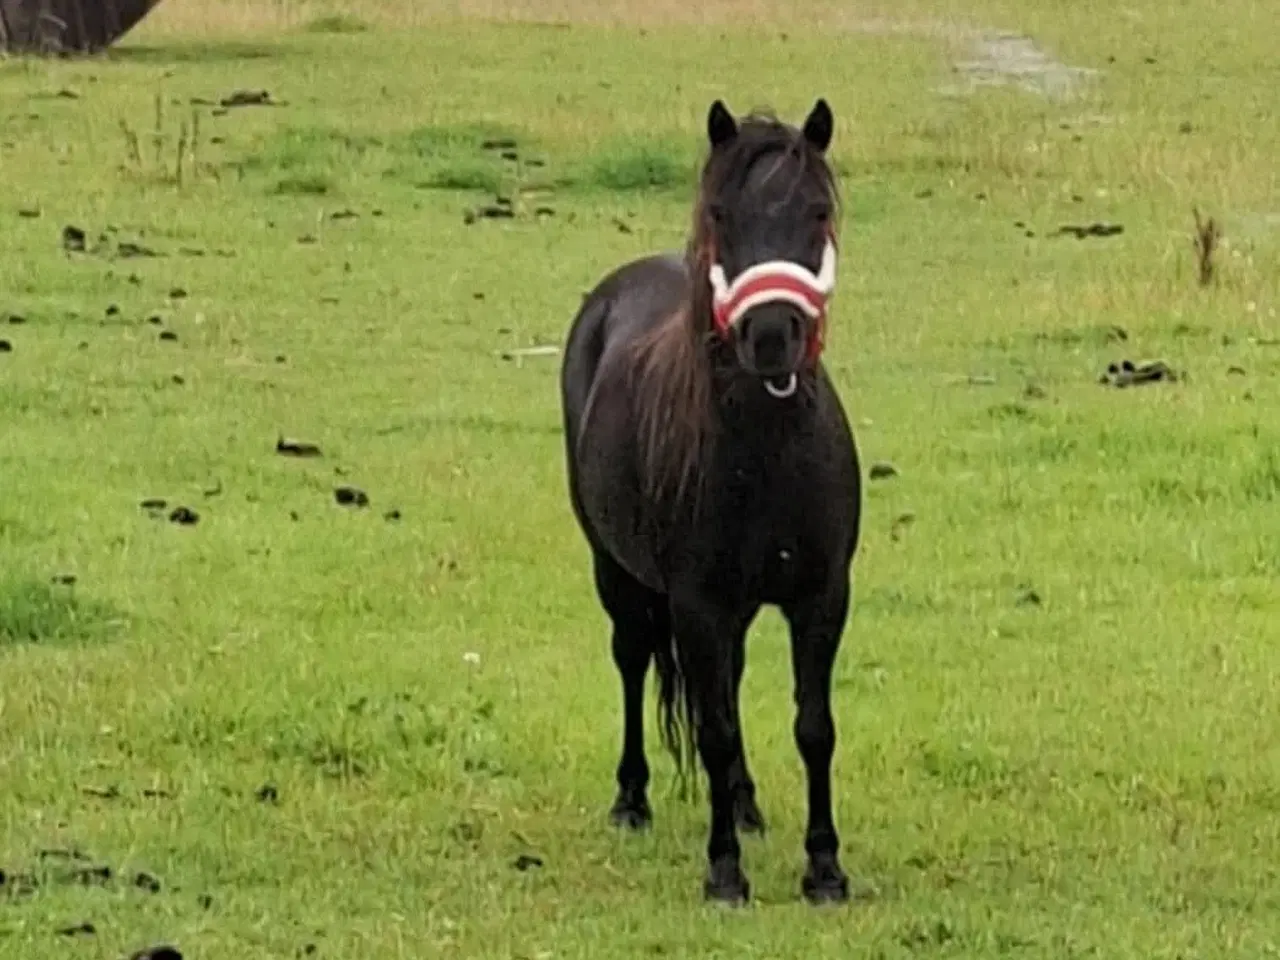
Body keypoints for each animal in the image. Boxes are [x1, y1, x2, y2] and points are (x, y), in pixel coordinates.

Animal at [558, 99, 860, 911]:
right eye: (722, 213)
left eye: (818, 211)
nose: (771, 336)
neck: (767, 451)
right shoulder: (696, 603)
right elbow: (715, 728)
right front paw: (724, 872)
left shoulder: (821, 597)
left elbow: (813, 726)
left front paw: (825, 869)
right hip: (614, 571)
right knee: (634, 660)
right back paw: (633, 799)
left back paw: (748, 804)